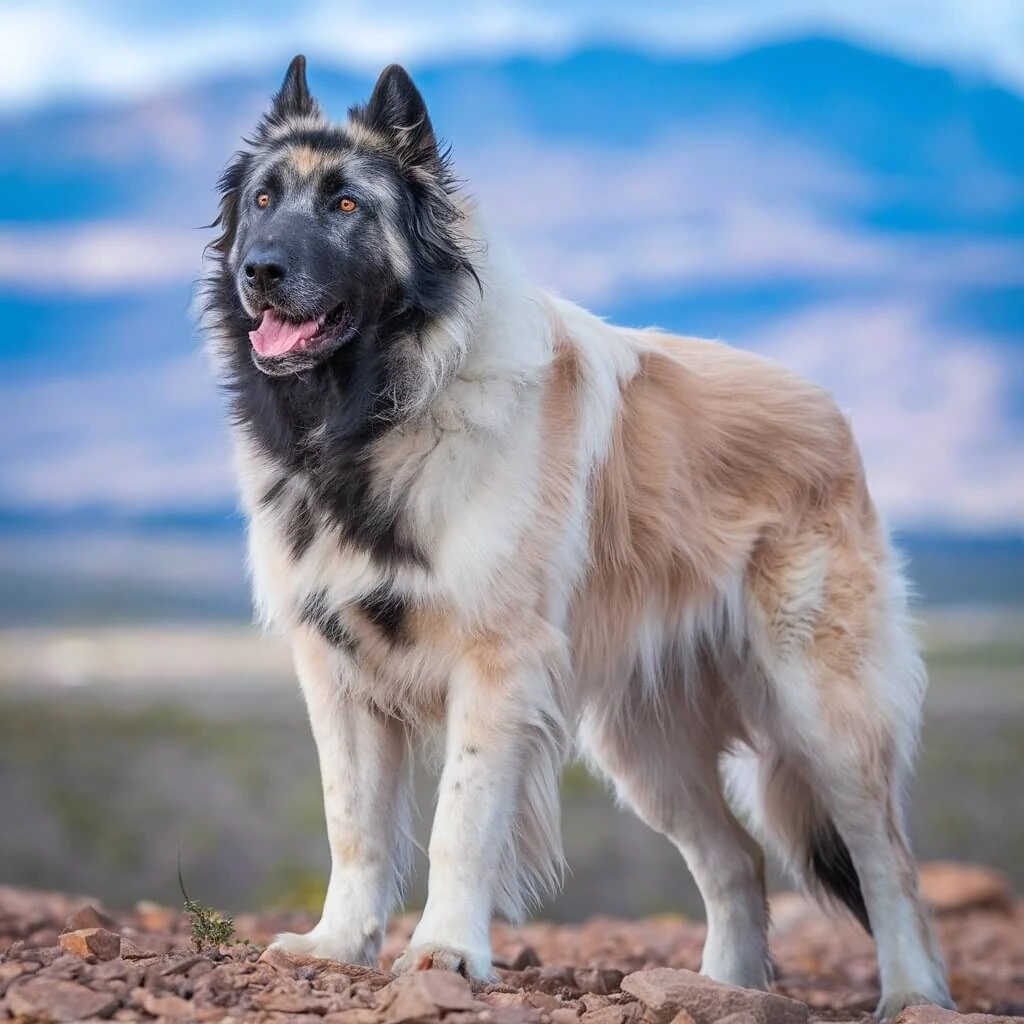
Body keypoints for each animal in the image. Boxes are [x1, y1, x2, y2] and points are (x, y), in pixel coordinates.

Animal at [199, 59, 950, 1019]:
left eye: (346, 205)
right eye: (263, 199)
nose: (261, 270)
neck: (383, 411)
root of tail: (828, 409)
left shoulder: (494, 668)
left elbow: (460, 820)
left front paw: (446, 952)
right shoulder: (337, 670)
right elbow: (353, 823)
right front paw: (336, 944)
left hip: (823, 711)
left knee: (888, 861)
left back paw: (912, 992)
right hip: (645, 746)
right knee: (737, 860)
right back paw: (722, 988)